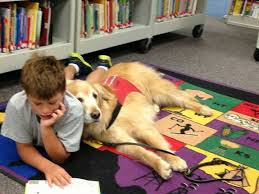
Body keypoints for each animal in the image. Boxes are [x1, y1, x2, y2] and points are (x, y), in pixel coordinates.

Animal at [67, 61, 213, 179]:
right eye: (79, 100)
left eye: (95, 96)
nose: (96, 115)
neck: (109, 115)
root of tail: (127, 62)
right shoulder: (122, 142)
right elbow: (142, 153)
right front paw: (160, 167)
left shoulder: (142, 128)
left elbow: (159, 146)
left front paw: (174, 160)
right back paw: (154, 107)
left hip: (161, 91)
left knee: (185, 99)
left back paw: (203, 109)